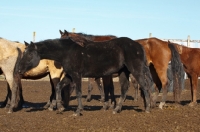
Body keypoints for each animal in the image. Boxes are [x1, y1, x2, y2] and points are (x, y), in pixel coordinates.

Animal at [18, 36, 153, 115]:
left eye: (30, 54)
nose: (19, 69)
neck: (67, 52)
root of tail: (138, 46)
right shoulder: (70, 76)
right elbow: (58, 87)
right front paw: (60, 107)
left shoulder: (77, 76)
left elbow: (78, 92)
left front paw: (78, 111)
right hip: (124, 71)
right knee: (125, 88)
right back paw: (116, 109)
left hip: (136, 70)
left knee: (144, 86)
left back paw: (147, 108)